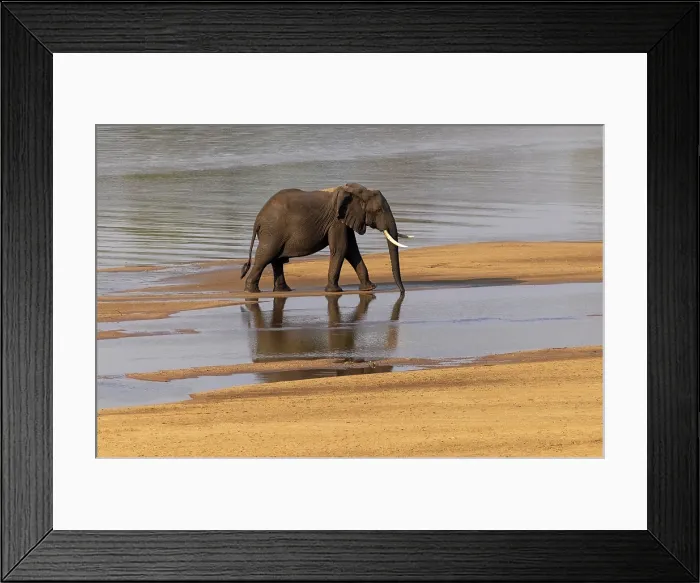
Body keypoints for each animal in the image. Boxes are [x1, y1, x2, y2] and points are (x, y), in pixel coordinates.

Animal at [240, 183, 410, 295]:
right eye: (379, 210)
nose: (402, 292)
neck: (356, 191)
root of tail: (258, 220)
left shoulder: (345, 220)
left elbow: (351, 250)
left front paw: (369, 288)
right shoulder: (336, 221)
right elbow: (341, 248)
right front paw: (334, 291)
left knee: (276, 260)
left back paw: (283, 291)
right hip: (273, 232)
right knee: (265, 256)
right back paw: (252, 292)